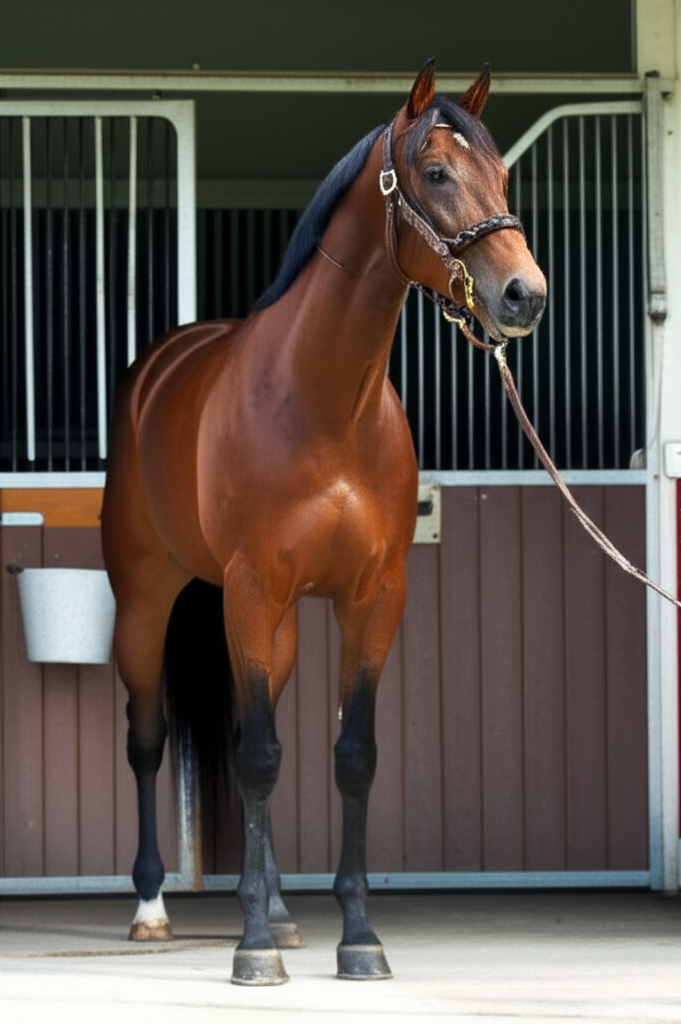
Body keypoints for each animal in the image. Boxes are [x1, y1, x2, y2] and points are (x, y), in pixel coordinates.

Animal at [100, 60, 546, 985]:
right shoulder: (250, 588)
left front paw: (356, 936)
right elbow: (256, 759)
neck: (323, 401)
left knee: (247, 732)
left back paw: (274, 907)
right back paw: (154, 906)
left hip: (275, 624)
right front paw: (251, 951)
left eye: (502, 175)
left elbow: (348, 757)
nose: (525, 296)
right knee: (149, 737)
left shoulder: (372, 596)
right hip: (149, 600)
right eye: (436, 174)